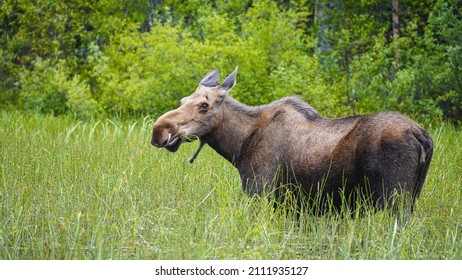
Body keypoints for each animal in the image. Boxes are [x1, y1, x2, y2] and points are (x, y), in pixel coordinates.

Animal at [152, 68, 434, 217]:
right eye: (182, 101)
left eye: (204, 105)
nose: (159, 131)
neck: (238, 146)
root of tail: (423, 137)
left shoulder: (260, 190)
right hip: (413, 196)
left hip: (393, 198)